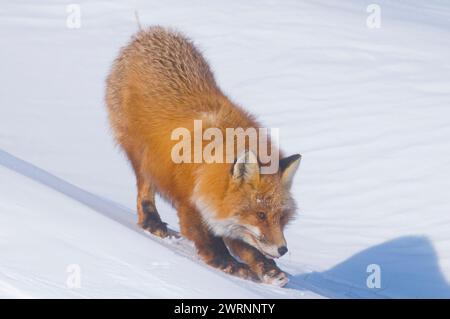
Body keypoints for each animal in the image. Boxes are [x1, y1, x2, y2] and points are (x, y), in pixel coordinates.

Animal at [105, 26, 300, 288]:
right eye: (260, 214)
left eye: (282, 217)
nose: (283, 249)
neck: (209, 166)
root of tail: (148, 32)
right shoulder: (190, 204)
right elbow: (211, 241)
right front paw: (229, 265)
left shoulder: (226, 216)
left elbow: (247, 246)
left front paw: (269, 269)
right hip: (140, 156)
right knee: (144, 193)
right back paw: (152, 223)